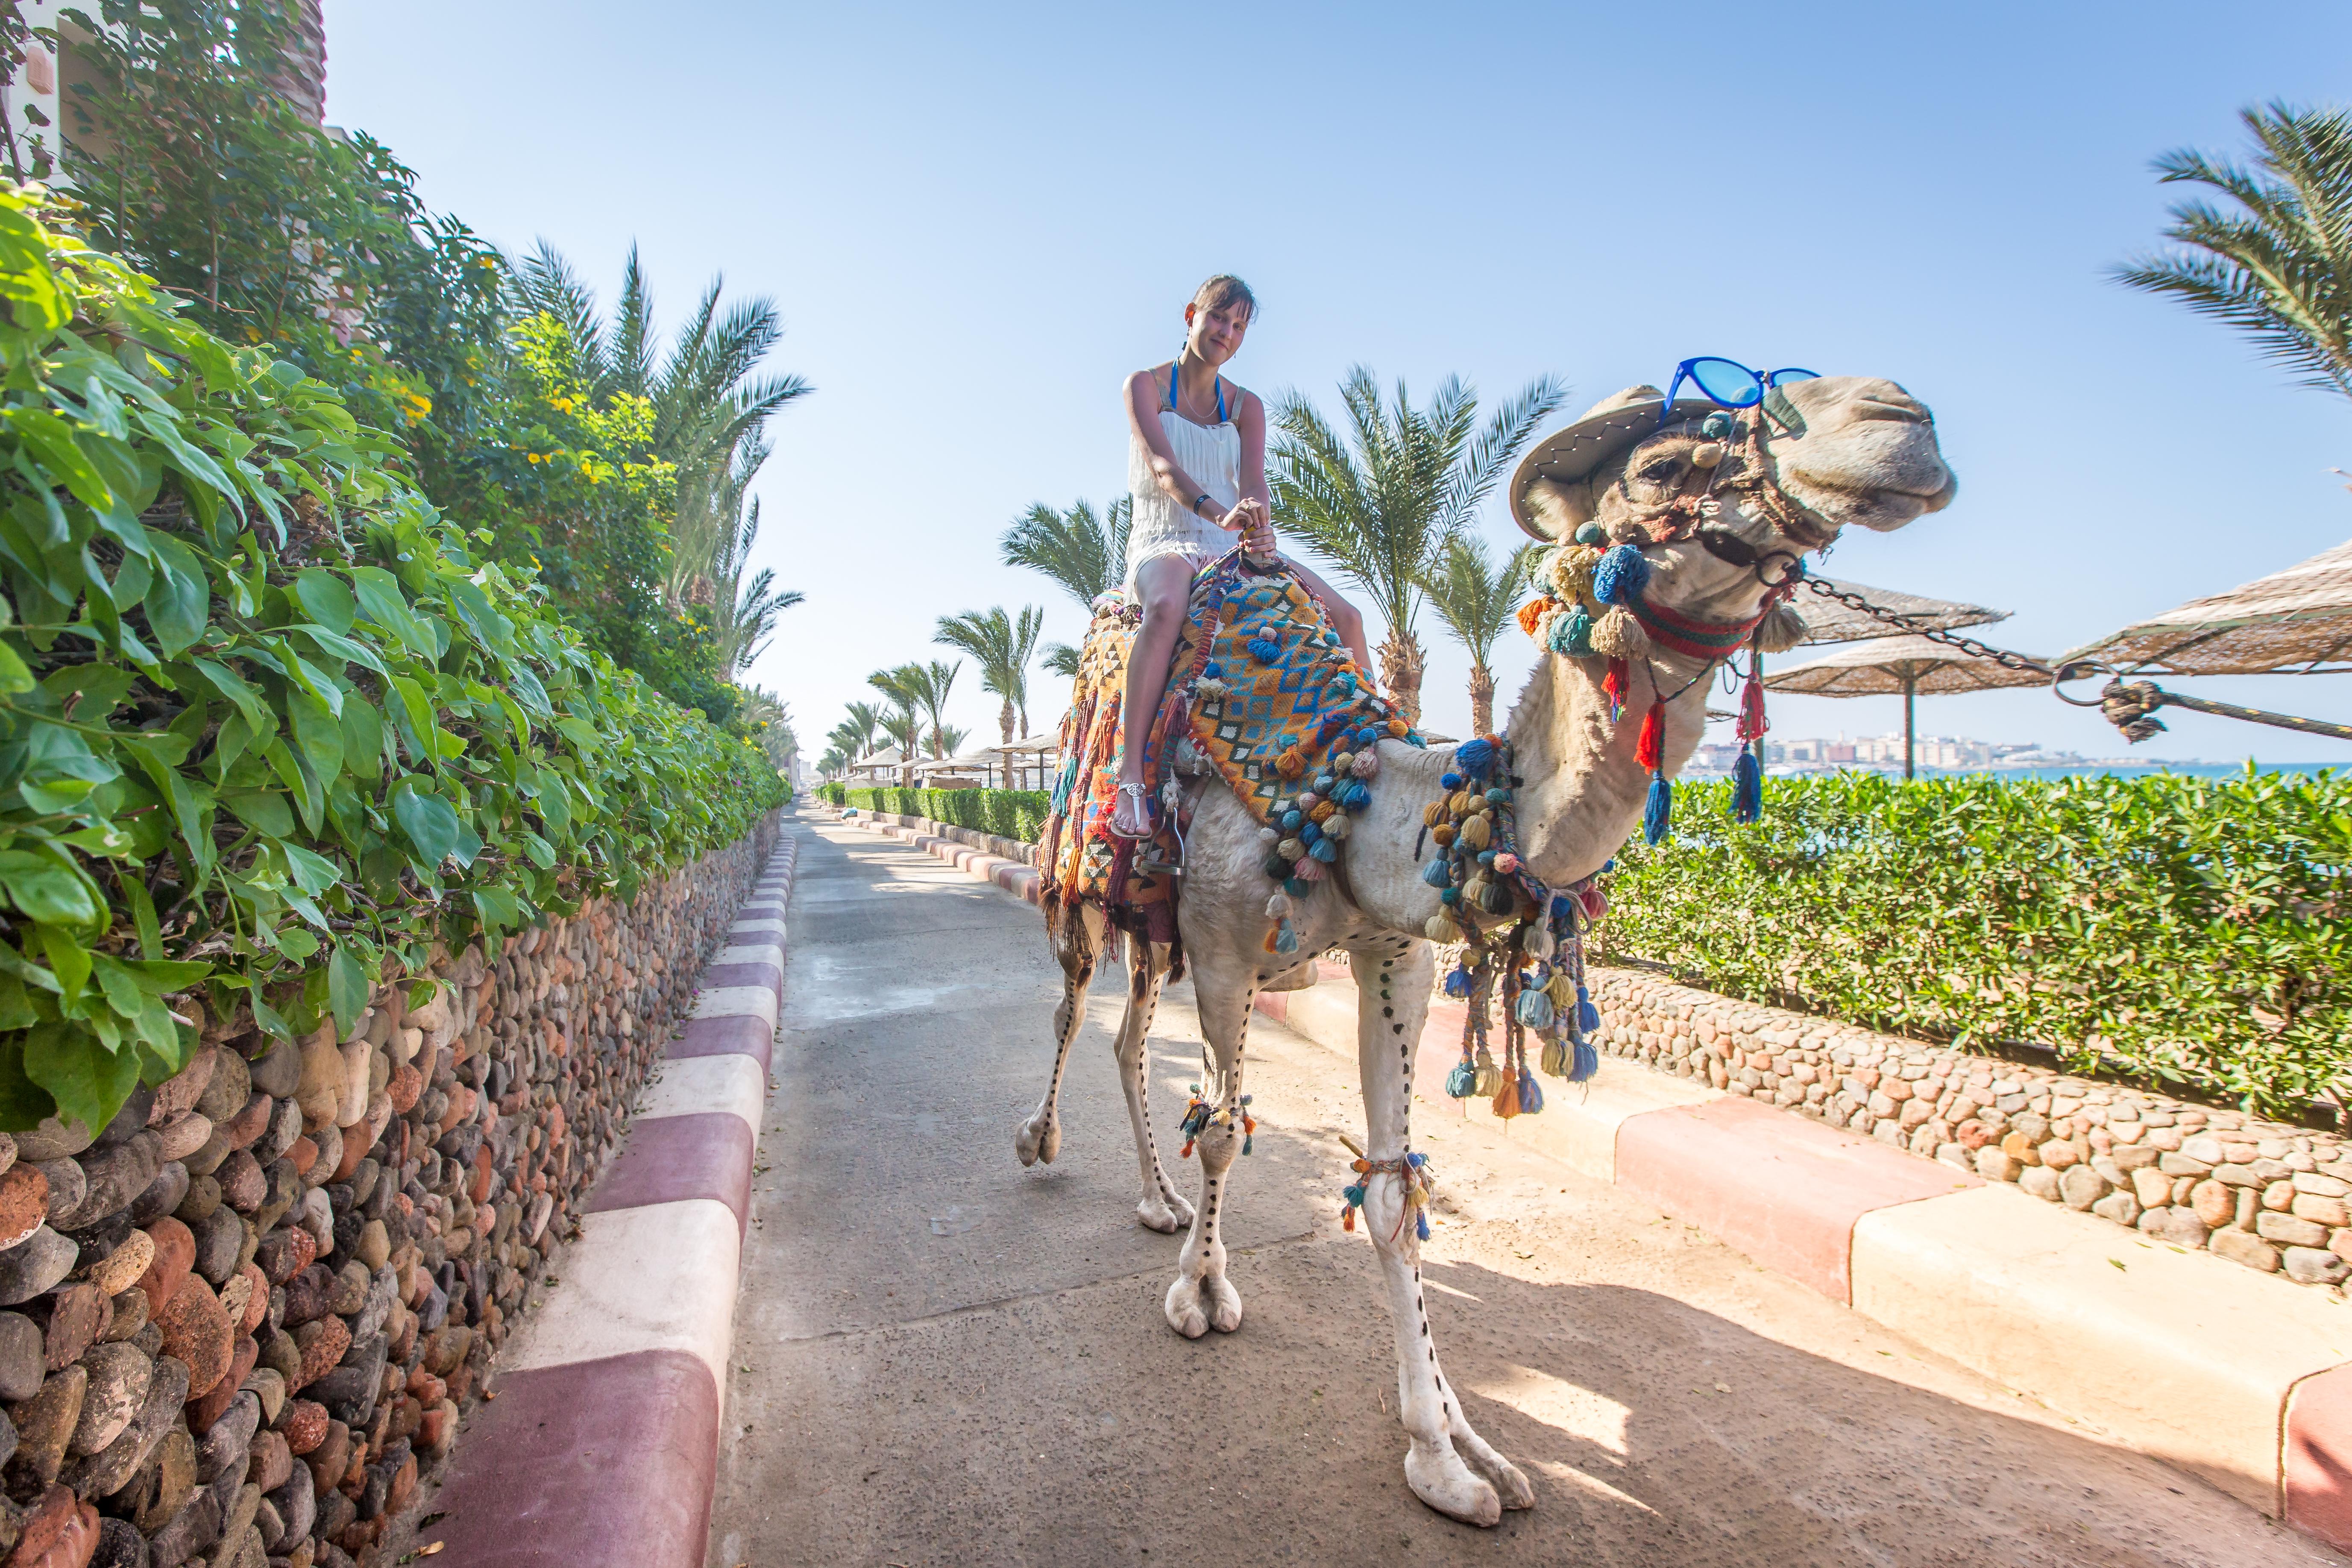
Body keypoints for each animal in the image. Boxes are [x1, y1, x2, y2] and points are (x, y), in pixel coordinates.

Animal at [1021, 374, 1956, 1523]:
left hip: (1155, 933)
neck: (1355, 800)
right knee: (1077, 1008)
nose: (1895, 418)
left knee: (1126, 1039)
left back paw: (1154, 1203)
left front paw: (1451, 1451)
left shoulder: (1391, 952)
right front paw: (1203, 1290)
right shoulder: (1225, 945)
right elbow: (1227, 1132)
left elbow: (1390, 1188)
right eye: (1661, 468)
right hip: (1096, 892)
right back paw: (1046, 1142)